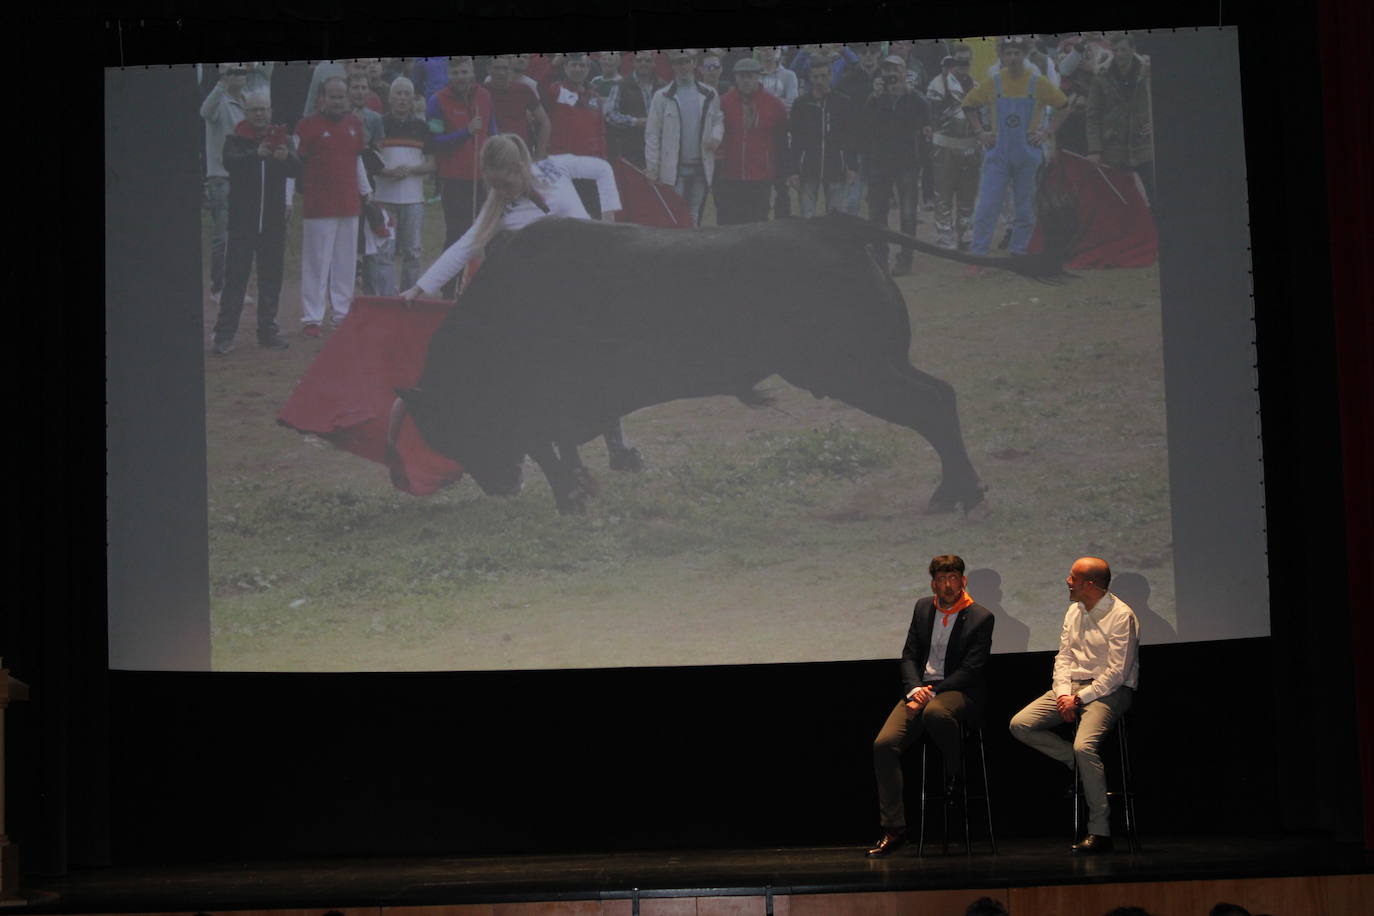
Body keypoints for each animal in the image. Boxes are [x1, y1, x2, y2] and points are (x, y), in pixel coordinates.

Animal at [392, 212, 1066, 516]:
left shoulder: (547, 404)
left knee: (929, 404)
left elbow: (546, 445)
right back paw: (959, 490)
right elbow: (559, 446)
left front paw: (570, 496)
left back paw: (952, 493)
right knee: (939, 396)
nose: (499, 486)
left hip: (853, 370)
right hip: (868, 366)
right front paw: (581, 488)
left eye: (451, 429)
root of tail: (833, 226)